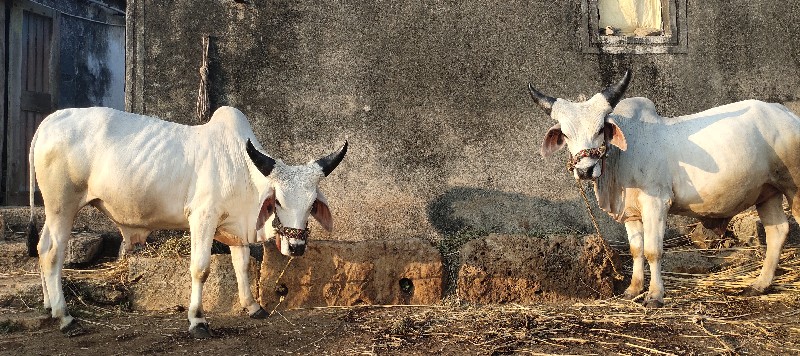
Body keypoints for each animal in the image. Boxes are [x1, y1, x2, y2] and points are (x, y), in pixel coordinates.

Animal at [528, 71, 800, 308]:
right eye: (565, 134)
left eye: (600, 129)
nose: (585, 170)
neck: (624, 155)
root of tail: (787, 113)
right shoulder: (631, 213)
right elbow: (636, 250)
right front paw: (633, 289)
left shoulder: (656, 203)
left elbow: (653, 251)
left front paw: (655, 295)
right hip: (768, 193)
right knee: (777, 232)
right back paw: (760, 284)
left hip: (794, 188)